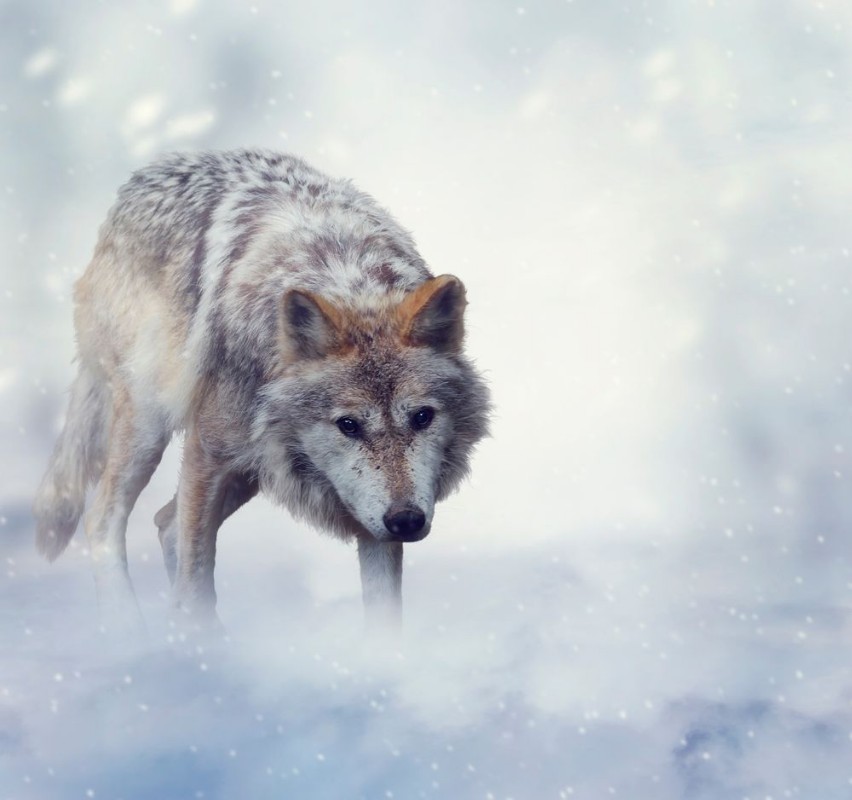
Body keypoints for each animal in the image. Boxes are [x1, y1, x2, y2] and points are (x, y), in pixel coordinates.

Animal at [33, 149, 490, 632]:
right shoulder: (208, 454)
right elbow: (195, 580)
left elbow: (384, 618)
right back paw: (130, 628)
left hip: (251, 468)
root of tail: (138, 182)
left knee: (165, 522)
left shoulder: (366, 514)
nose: (406, 520)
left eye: (422, 417)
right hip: (150, 424)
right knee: (103, 517)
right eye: (348, 425)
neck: (346, 282)